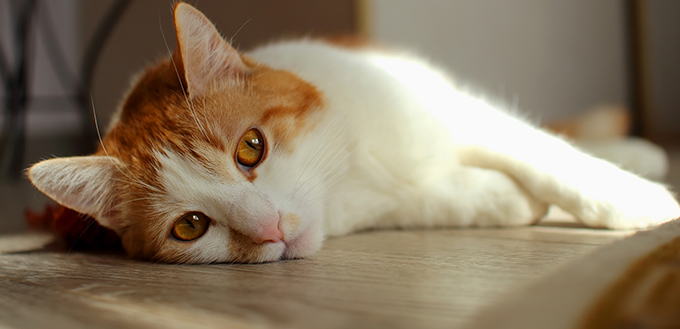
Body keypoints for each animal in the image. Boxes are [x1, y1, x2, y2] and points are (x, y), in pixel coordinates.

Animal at [25, 2, 680, 262]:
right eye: (190, 226)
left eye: (251, 148)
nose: (270, 228)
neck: (351, 169)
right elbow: (445, 199)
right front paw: (505, 199)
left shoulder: (454, 111)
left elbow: (546, 155)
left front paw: (635, 202)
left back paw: (640, 157)